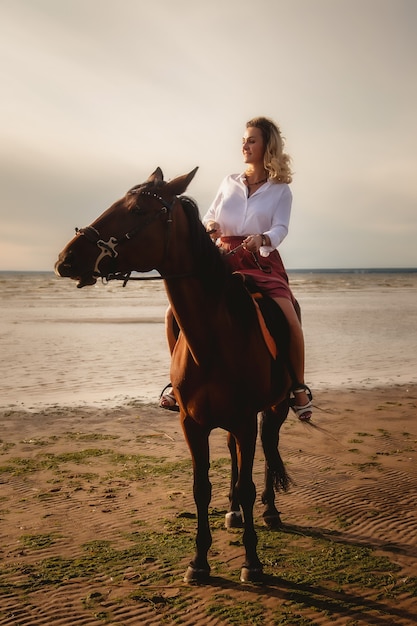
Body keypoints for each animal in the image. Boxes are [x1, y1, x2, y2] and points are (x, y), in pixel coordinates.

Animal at [54, 166, 292, 580]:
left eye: (135, 210)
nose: (66, 258)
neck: (214, 341)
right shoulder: (191, 423)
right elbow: (201, 488)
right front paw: (199, 561)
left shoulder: (246, 420)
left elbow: (247, 483)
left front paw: (252, 561)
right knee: (234, 455)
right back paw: (233, 511)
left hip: (275, 409)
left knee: (269, 446)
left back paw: (269, 509)